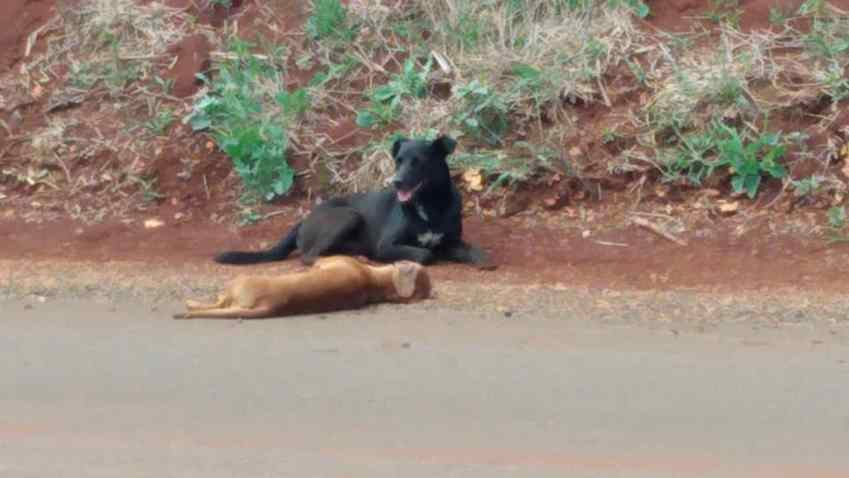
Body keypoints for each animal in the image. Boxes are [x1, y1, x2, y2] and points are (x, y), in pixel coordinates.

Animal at [214, 134, 496, 268]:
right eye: (399, 161)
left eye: (418, 162)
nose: (395, 182)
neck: (430, 205)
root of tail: (303, 220)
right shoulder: (386, 245)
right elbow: (426, 254)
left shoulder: (451, 240)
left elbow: (472, 249)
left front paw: (482, 259)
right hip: (349, 215)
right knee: (309, 256)